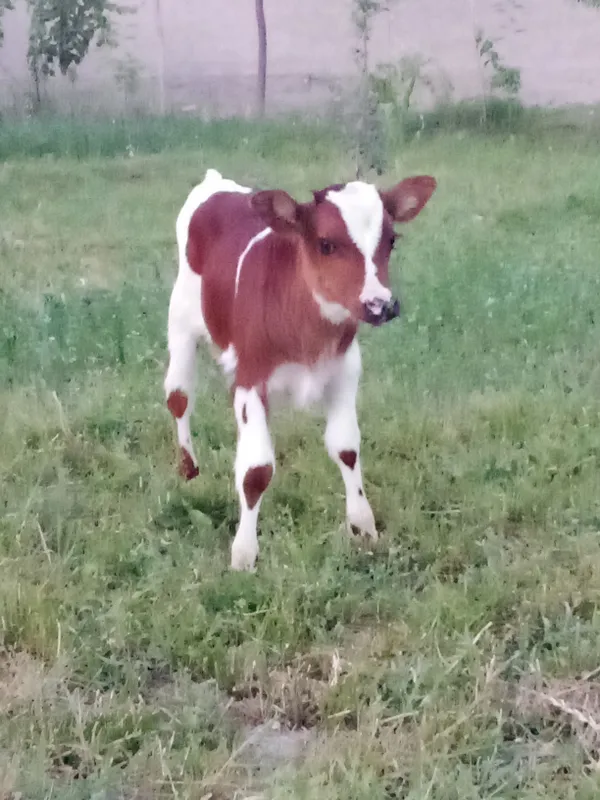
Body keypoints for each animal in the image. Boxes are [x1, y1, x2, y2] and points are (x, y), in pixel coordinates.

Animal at [164, 168, 436, 571]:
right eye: (325, 244)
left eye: (391, 240)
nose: (381, 305)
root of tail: (216, 182)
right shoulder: (251, 378)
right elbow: (256, 469)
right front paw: (244, 554)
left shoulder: (344, 372)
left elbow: (346, 448)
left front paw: (363, 527)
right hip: (180, 323)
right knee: (179, 397)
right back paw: (190, 471)